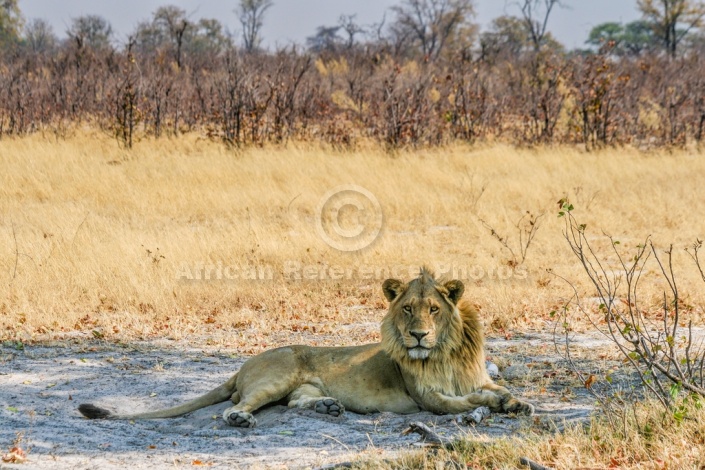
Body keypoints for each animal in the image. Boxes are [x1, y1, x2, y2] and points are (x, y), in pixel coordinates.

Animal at [78, 268, 532, 426]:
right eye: (407, 309)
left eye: (434, 310)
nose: (418, 335)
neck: (444, 353)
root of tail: (241, 366)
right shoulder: (426, 398)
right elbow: (463, 402)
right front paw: (493, 405)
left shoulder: (473, 375)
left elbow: (495, 388)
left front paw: (517, 402)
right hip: (276, 377)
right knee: (240, 405)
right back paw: (240, 419)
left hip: (299, 386)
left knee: (297, 401)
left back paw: (328, 407)